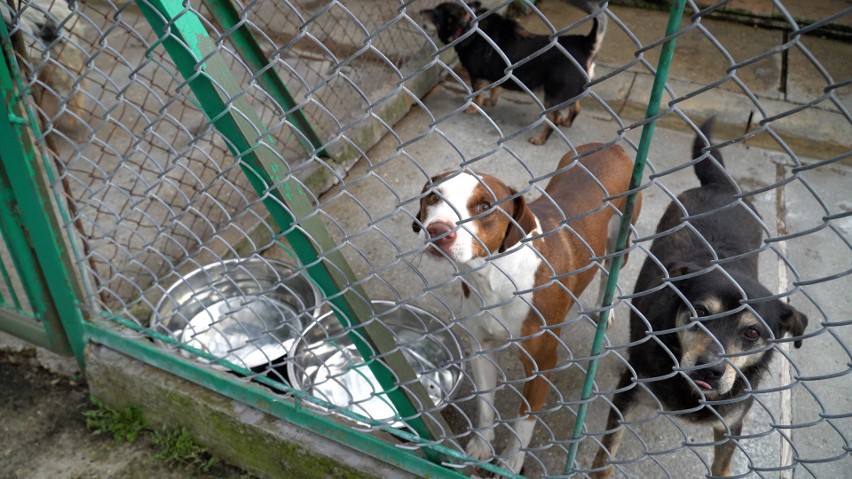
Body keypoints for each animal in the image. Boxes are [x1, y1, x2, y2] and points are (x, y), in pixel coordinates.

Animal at [412, 144, 640, 474]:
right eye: (433, 197)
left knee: (610, 271)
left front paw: (510, 461)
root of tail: (611, 146)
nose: (438, 231)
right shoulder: (481, 347)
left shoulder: (542, 363)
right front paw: (481, 445)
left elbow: (525, 420)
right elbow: (485, 403)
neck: (494, 276)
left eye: (485, 206)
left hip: (622, 239)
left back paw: (604, 307)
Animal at [422, 0, 604, 145]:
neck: (468, 29)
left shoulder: (476, 77)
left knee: (554, 120)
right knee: (576, 108)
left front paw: (473, 108)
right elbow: (495, 89)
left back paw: (540, 139)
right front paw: (491, 102)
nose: (420, 12)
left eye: (435, 14)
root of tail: (586, 44)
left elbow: (477, 95)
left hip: (553, 96)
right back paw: (567, 122)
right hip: (571, 91)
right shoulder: (498, 73)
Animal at [588, 119, 808, 476]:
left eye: (752, 332)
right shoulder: (627, 394)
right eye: (700, 312)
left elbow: (722, 466)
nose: (710, 370)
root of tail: (721, 186)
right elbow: (605, 456)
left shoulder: (731, 424)